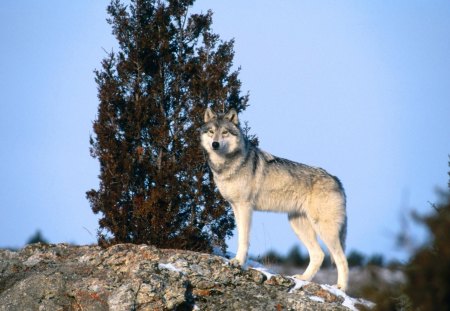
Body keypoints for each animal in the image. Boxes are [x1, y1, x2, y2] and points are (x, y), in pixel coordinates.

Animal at [199, 108, 350, 292]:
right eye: (211, 132)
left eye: (225, 132)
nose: (215, 144)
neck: (227, 165)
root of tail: (337, 180)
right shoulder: (235, 207)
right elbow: (241, 236)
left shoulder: (245, 207)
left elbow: (244, 239)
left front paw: (239, 262)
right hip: (297, 225)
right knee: (318, 254)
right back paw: (303, 279)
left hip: (324, 229)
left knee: (342, 258)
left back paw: (341, 287)